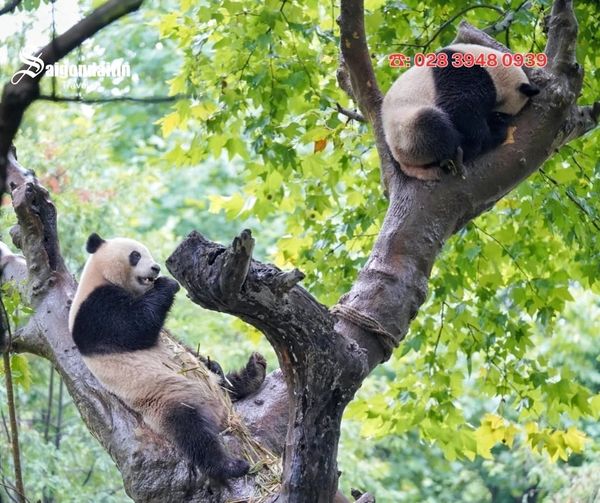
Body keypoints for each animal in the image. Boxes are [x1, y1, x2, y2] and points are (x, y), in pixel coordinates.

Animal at [69, 233, 267, 481]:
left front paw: (215, 364)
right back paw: (230, 466)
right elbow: (133, 326)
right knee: (194, 433)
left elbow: (182, 344)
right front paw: (167, 284)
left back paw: (253, 372)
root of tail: (221, 412)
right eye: (136, 255)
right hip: (169, 398)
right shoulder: (93, 311)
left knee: (226, 384)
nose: (155, 268)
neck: (100, 277)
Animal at [382, 43, 540, 180]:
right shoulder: (462, 71)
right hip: (407, 132)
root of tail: (405, 164)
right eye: (499, 115)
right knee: (434, 127)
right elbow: (459, 105)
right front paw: (490, 134)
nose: (498, 121)